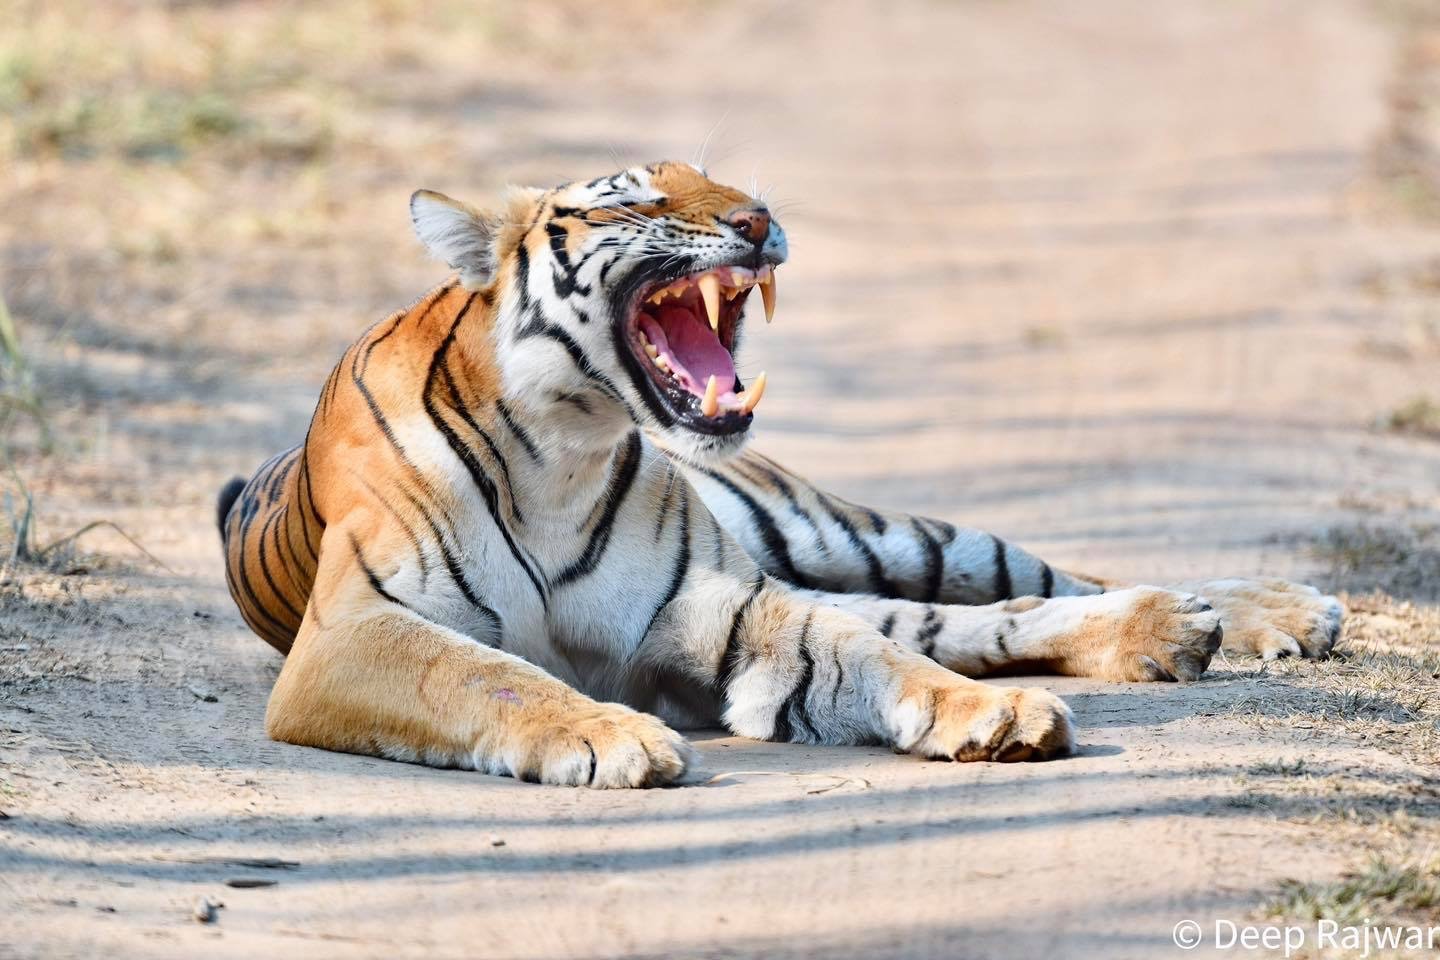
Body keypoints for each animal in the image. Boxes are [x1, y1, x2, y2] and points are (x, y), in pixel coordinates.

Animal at [217, 161, 1344, 788]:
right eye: (637, 197)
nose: (757, 219)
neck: (561, 455)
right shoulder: (357, 631)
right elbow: (488, 675)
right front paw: (611, 738)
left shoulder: (727, 608)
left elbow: (874, 661)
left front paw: (990, 719)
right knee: (970, 620)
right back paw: (1180, 631)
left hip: (850, 533)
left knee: (1028, 585)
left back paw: (1248, 612)